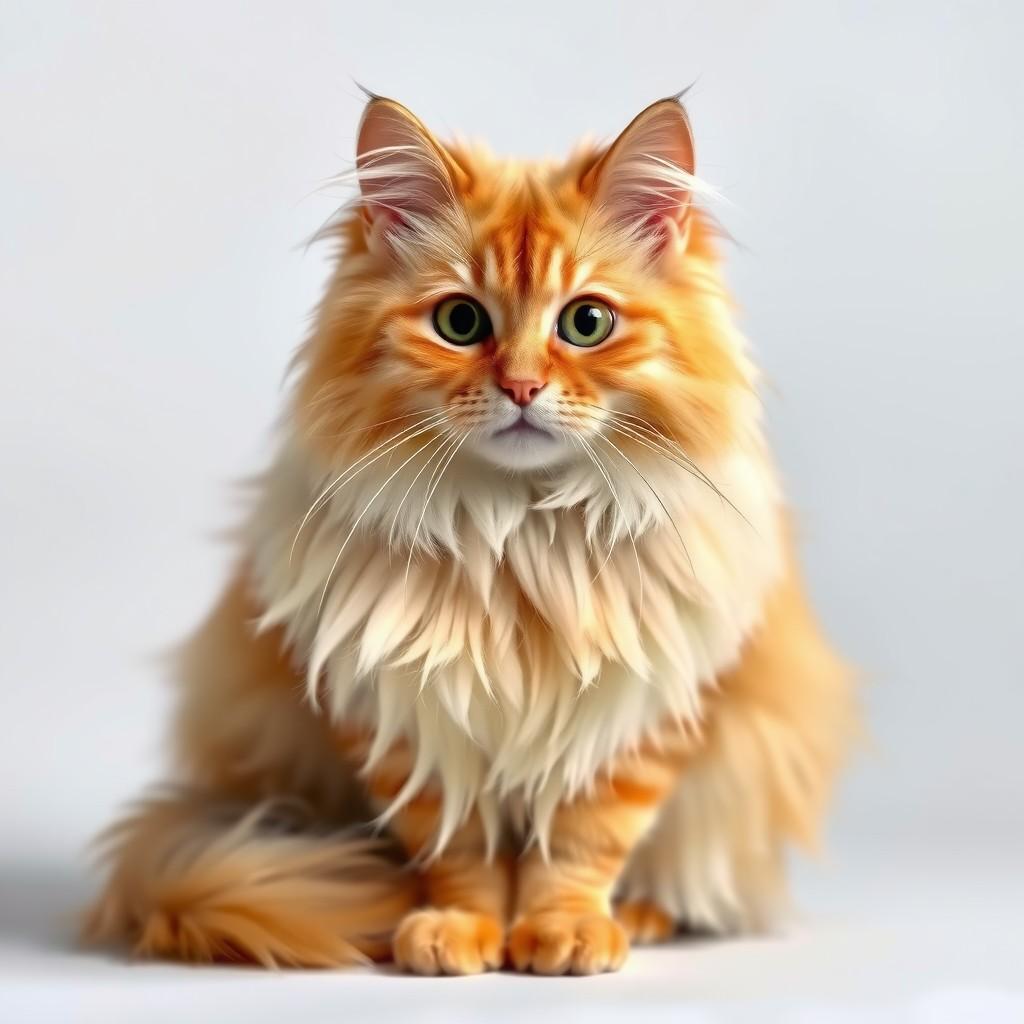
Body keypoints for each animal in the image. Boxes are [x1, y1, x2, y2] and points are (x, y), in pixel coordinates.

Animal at [86, 94, 856, 974]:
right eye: (461, 322)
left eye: (586, 323)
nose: (521, 386)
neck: (518, 535)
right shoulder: (403, 712)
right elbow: (458, 849)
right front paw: (462, 930)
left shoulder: (643, 706)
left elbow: (584, 843)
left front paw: (566, 931)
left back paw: (644, 914)